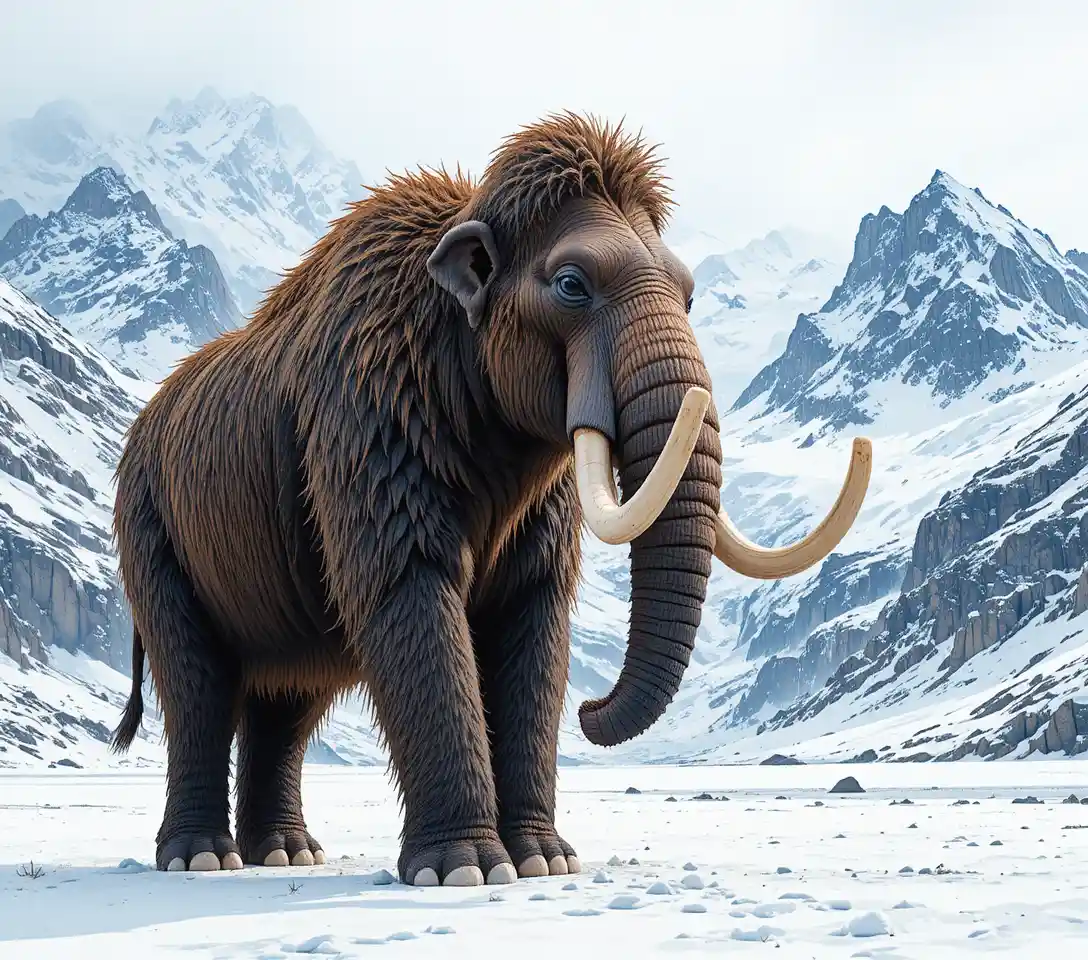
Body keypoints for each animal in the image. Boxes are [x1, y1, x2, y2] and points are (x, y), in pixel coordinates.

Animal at [109, 111, 871, 886]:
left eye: (689, 294)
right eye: (571, 284)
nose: (591, 709)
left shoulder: (541, 499)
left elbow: (531, 612)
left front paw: (543, 862)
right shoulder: (370, 432)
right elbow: (411, 588)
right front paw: (468, 870)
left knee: (287, 702)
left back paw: (285, 853)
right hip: (151, 533)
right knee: (199, 686)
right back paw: (203, 859)